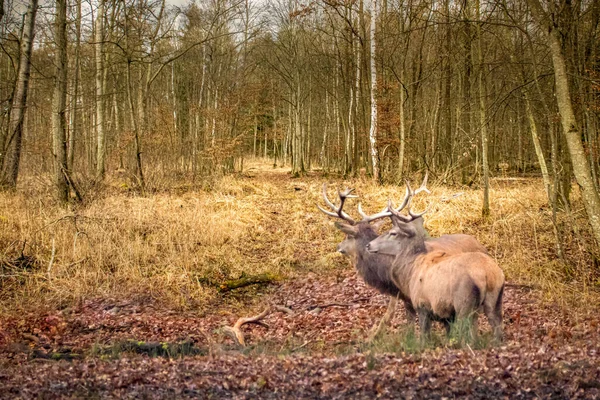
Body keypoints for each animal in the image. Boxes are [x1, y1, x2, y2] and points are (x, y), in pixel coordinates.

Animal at [368, 189, 504, 342]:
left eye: (393, 233)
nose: (369, 245)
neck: (410, 272)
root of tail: (488, 275)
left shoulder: (422, 305)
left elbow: (424, 337)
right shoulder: (447, 315)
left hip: (464, 302)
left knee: (468, 333)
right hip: (495, 300)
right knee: (496, 327)